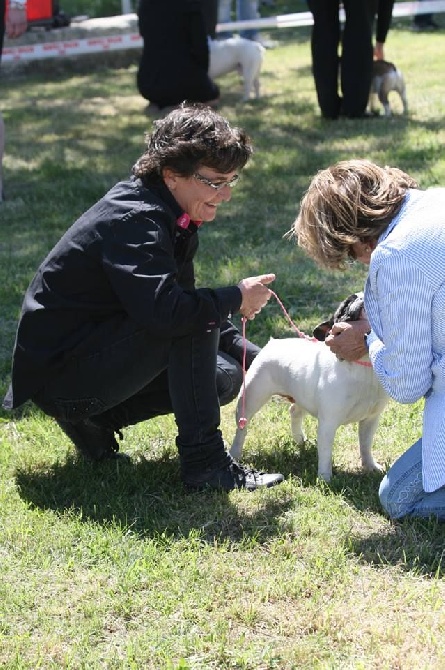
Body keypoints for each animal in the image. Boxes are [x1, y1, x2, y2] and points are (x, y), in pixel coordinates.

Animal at [231, 294, 386, 484]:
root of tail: (272, 344)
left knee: (295, 412)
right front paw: (325, 478)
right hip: (252, 396)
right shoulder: (328, 422)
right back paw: (235, 454)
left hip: (301, 395)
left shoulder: (371, 419)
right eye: (346, 306)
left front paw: (370, 466)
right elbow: (325, 452)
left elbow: (365, 444)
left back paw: (299, 439)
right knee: (242, 428)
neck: (362, 364)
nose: (363, 297)